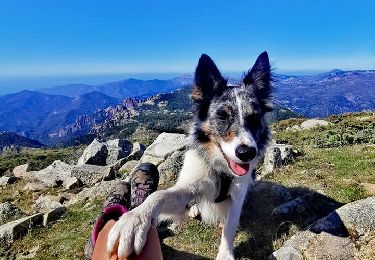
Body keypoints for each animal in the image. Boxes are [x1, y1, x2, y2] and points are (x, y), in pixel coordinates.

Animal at [107, 51, 272, 258]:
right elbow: (159, 196)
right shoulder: (190, 185)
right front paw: (134, 220)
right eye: (222, 116)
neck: (220, 167)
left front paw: (225, 254)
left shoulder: (238, 193)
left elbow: (231, 225)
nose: (246, 153)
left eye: (254, 118)